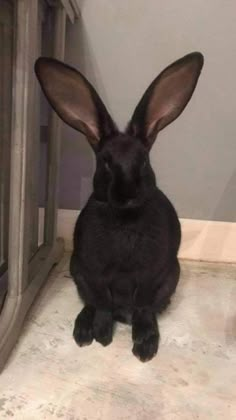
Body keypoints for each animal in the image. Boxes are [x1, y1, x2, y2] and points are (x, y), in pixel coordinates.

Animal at [34, 51, 203, 360]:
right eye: (106, 162)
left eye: (144, 161)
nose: (128, 193)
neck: (124, 217)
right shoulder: (95, 272)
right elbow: (102, 302)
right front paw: (102, 336)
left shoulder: (150, 275)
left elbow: (143, 306)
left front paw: (144, 346)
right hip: (77, 272)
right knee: (90, 303)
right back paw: (82, 332)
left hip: (171, 278)